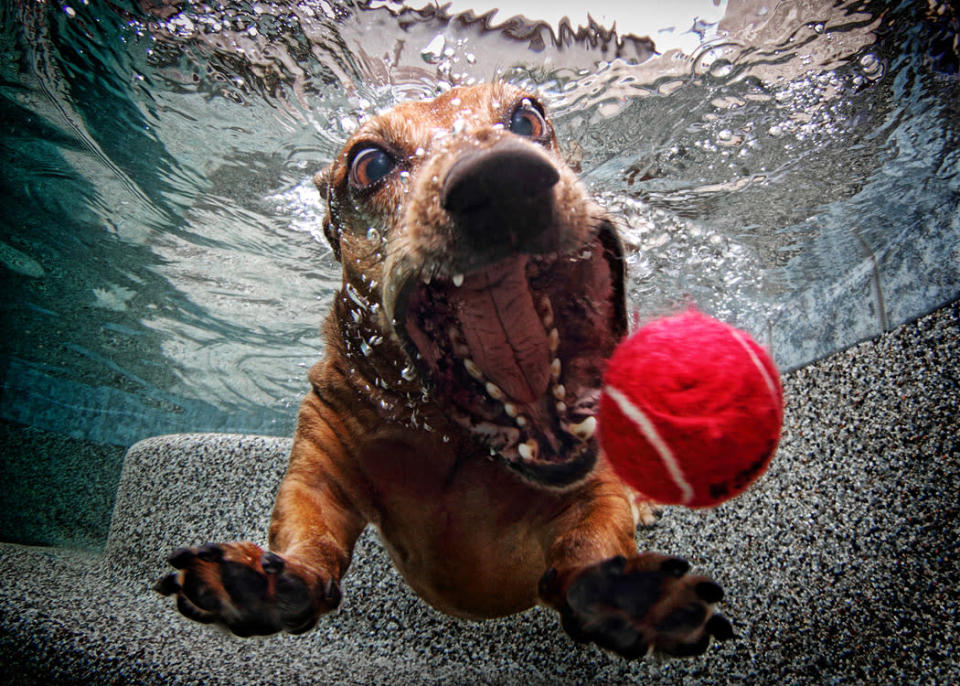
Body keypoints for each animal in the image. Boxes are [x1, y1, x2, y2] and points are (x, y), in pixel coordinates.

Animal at [158, 83, 732, 660]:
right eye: (369, 164)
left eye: (528, 117)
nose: (499, 178)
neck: (457, 440)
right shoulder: (320, 457)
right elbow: (309, 524)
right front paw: (264, 580)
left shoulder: (591, 488)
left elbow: (592, 535)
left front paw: (629, 596)